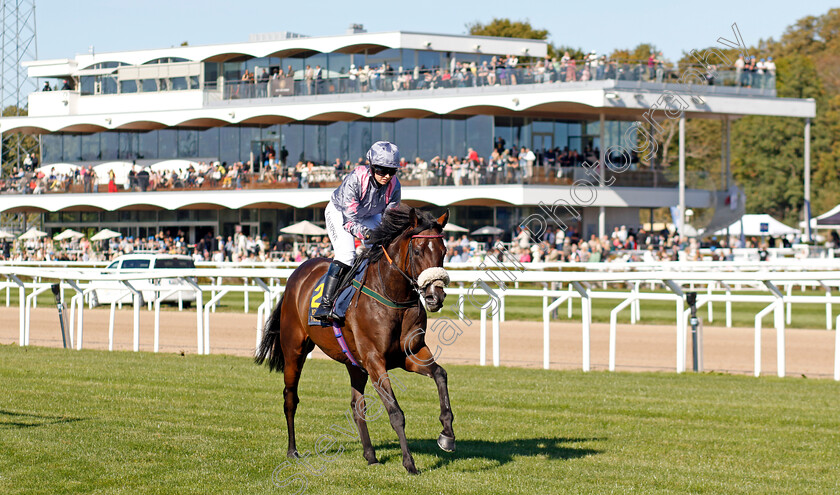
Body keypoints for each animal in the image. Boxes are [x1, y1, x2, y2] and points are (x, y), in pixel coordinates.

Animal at [256, 205, 456, 476]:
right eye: (417, 250)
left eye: (444, 251)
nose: (436, 296)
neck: (391, 295)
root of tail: (298, 273)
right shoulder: (375, 360)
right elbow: (395, 412)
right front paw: (409, 463)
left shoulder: (410, 354)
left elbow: (440, 374)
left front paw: (447, 434)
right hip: (294, 350)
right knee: (290, 398)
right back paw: (292, 450)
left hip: (355, 363)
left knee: (356, 405)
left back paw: (370, 455)